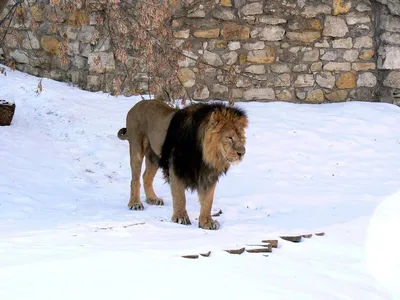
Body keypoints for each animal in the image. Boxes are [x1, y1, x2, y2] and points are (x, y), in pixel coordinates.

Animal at [116, 99, 247, 230]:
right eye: (229, 137)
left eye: (241, 138)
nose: (242, 153)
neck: (206, 154)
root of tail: (136, 105)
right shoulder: (176, 167)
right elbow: (180, 196)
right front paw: (180, 217)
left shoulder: (209, 174)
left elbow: (208, 200)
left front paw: (207, 222)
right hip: (137, 148)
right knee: (135, 179)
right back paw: (135, 203)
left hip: (154, 157)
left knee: (146, 176)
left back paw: (152, 199)